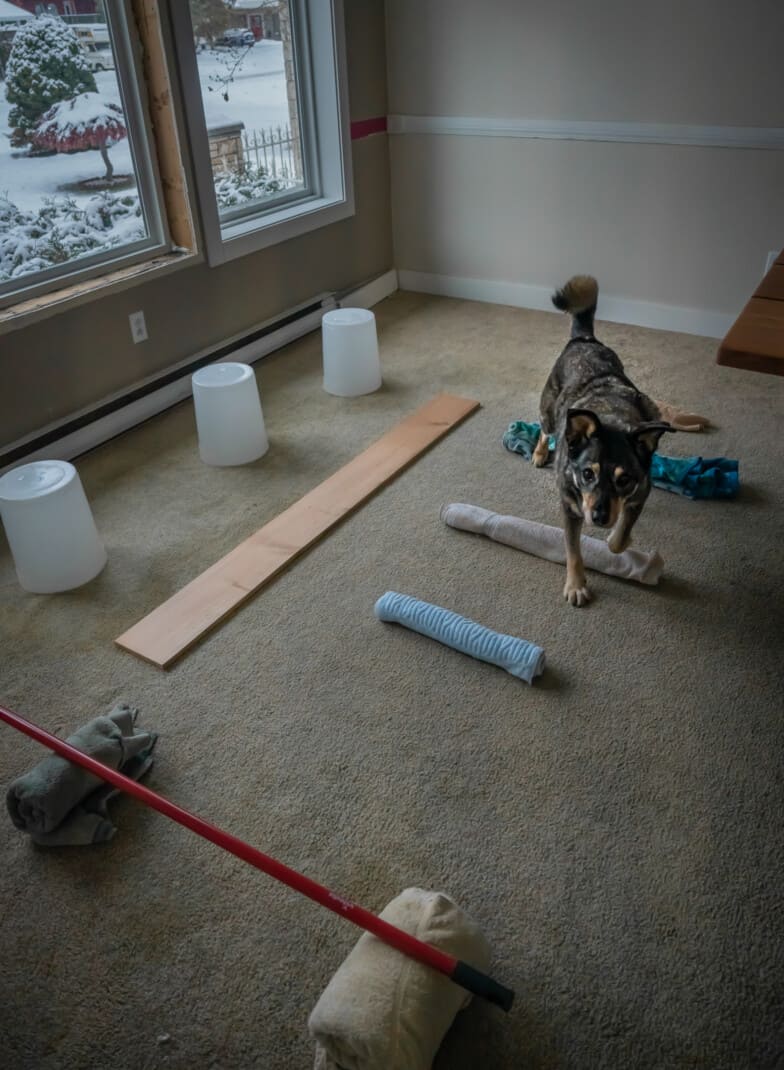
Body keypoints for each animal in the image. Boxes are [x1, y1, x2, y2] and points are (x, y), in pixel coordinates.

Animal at [534, 276, 675, 607]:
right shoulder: (569, 507)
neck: (611, 416)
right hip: (549, 407)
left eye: (624, 480)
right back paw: (538, 452)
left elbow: (620, 539)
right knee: (545, 427)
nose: (598, 517)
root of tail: (584, 339)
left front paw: (617, 539)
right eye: (587, 474)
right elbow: (573, 550)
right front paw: (576, 586)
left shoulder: (642, 490)